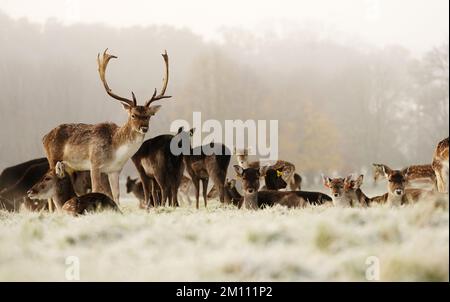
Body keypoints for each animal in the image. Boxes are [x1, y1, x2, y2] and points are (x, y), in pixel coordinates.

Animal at [42, 50, 171, 210]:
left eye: (148, 116)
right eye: (133, 115)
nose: (144, 127)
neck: (116, 150)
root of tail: (44, 137)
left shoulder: (115, 170)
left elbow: (116, 195)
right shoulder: (94, 163)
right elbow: (97, 189)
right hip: (52, 157)